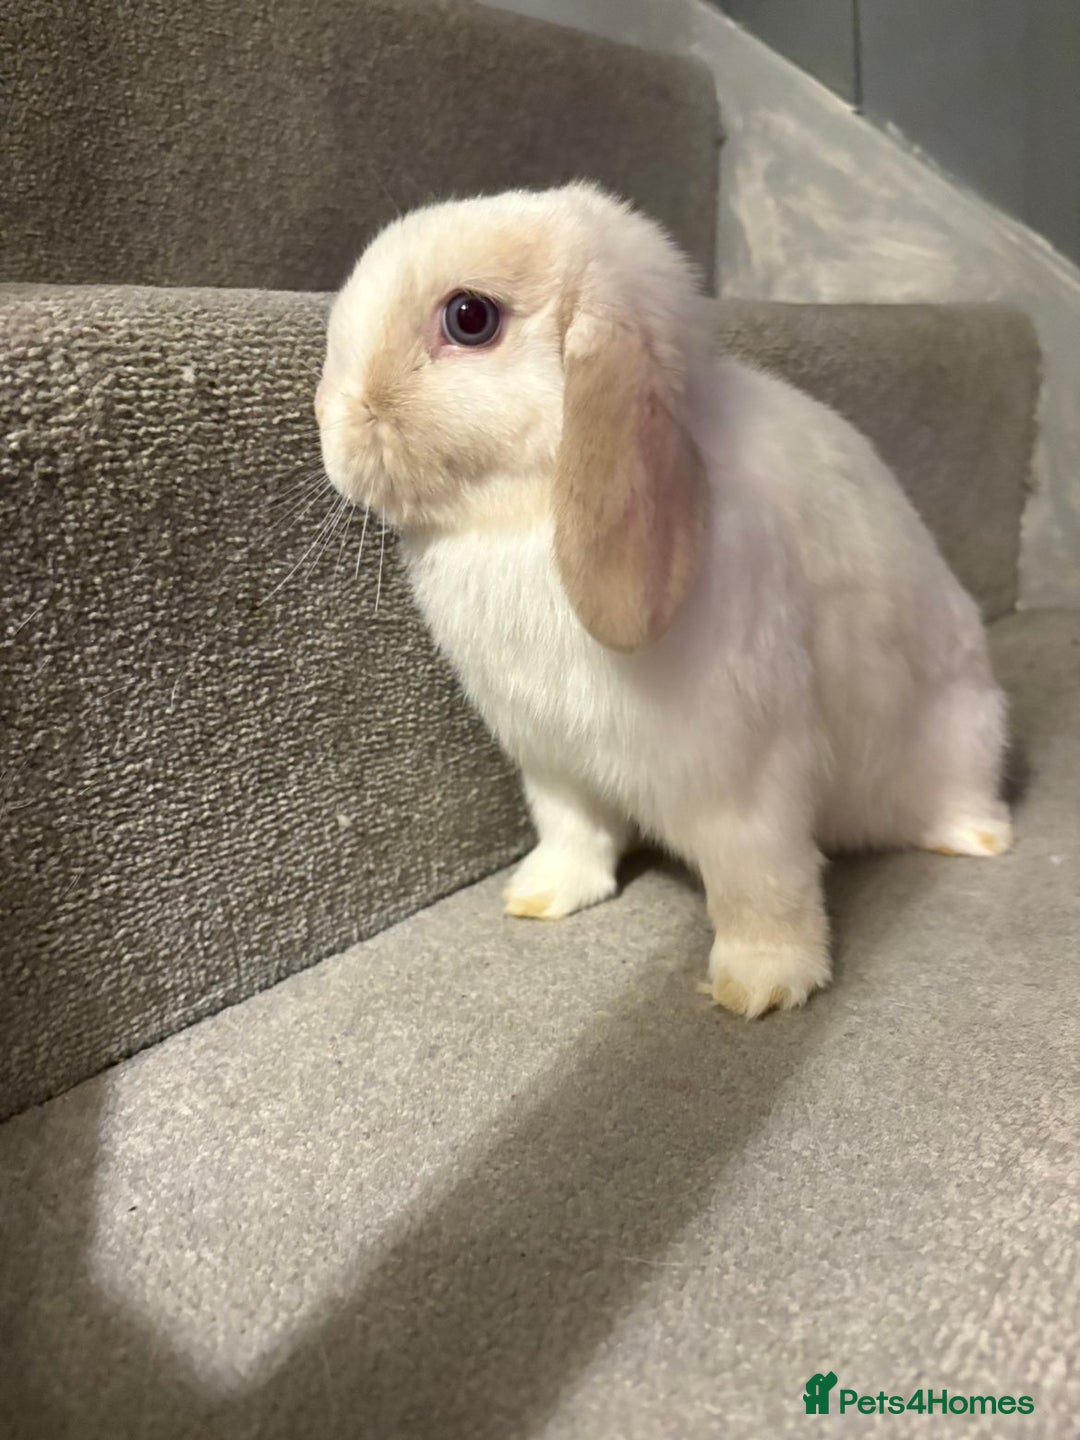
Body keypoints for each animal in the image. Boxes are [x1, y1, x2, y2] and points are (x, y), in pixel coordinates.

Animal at [316, 182, 1012, 1018]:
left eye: (470, 318)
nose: (331, 426)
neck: (519, 520)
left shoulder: (746, 776)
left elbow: (760, 882)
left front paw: (759, 986)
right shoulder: (553, 762)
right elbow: (573, 834)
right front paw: (541, 897)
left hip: (966, 732)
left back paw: (976, 839)